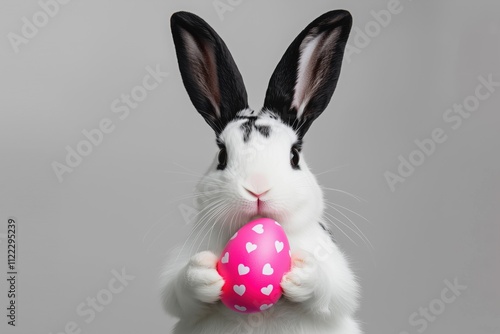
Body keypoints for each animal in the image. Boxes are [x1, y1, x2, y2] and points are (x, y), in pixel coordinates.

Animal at [162, 10, 362, 334]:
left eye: (294, 156)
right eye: (222, 155)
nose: (257, 188)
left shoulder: (336, 272)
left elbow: (336, 289)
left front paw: (302, 273)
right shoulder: (177, 279)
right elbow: (176, 289)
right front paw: (204, 273)